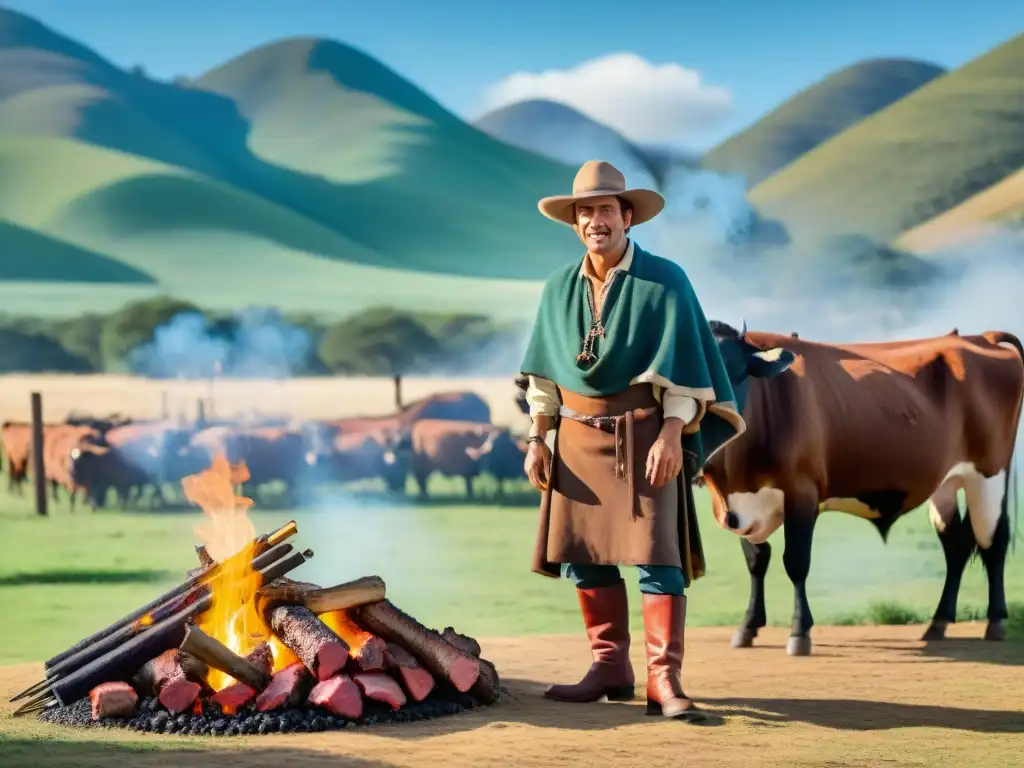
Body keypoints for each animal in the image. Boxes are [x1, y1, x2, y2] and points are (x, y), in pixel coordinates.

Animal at [704, 321, 1024, 659]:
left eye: (737, 372)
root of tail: (981, 338)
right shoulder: (737, 504)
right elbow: (756, 561)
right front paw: (748, 627)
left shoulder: (802, 493)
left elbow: (796, 562)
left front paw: (799, 632)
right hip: (946, 483)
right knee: (956, 544)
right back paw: (938, 623)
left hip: (990, 474)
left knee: (993, 541)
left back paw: (996, 622)